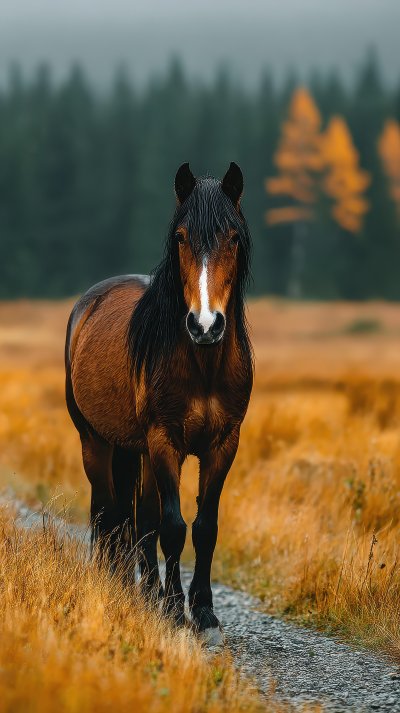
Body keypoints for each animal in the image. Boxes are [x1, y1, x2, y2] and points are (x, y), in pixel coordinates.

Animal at [65, 162, 253, 644]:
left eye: (233, 237)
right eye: (181, 237)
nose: (205, 325)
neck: (203, 364)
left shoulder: (223, 445)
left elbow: (202, 528)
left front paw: (203, 612)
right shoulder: (165, 441)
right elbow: (172, 526)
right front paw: (173, 609)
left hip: (139, 452)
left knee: (140, 519)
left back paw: (147, 591)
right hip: (96, 442)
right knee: (109, 511)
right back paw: (117, 582)